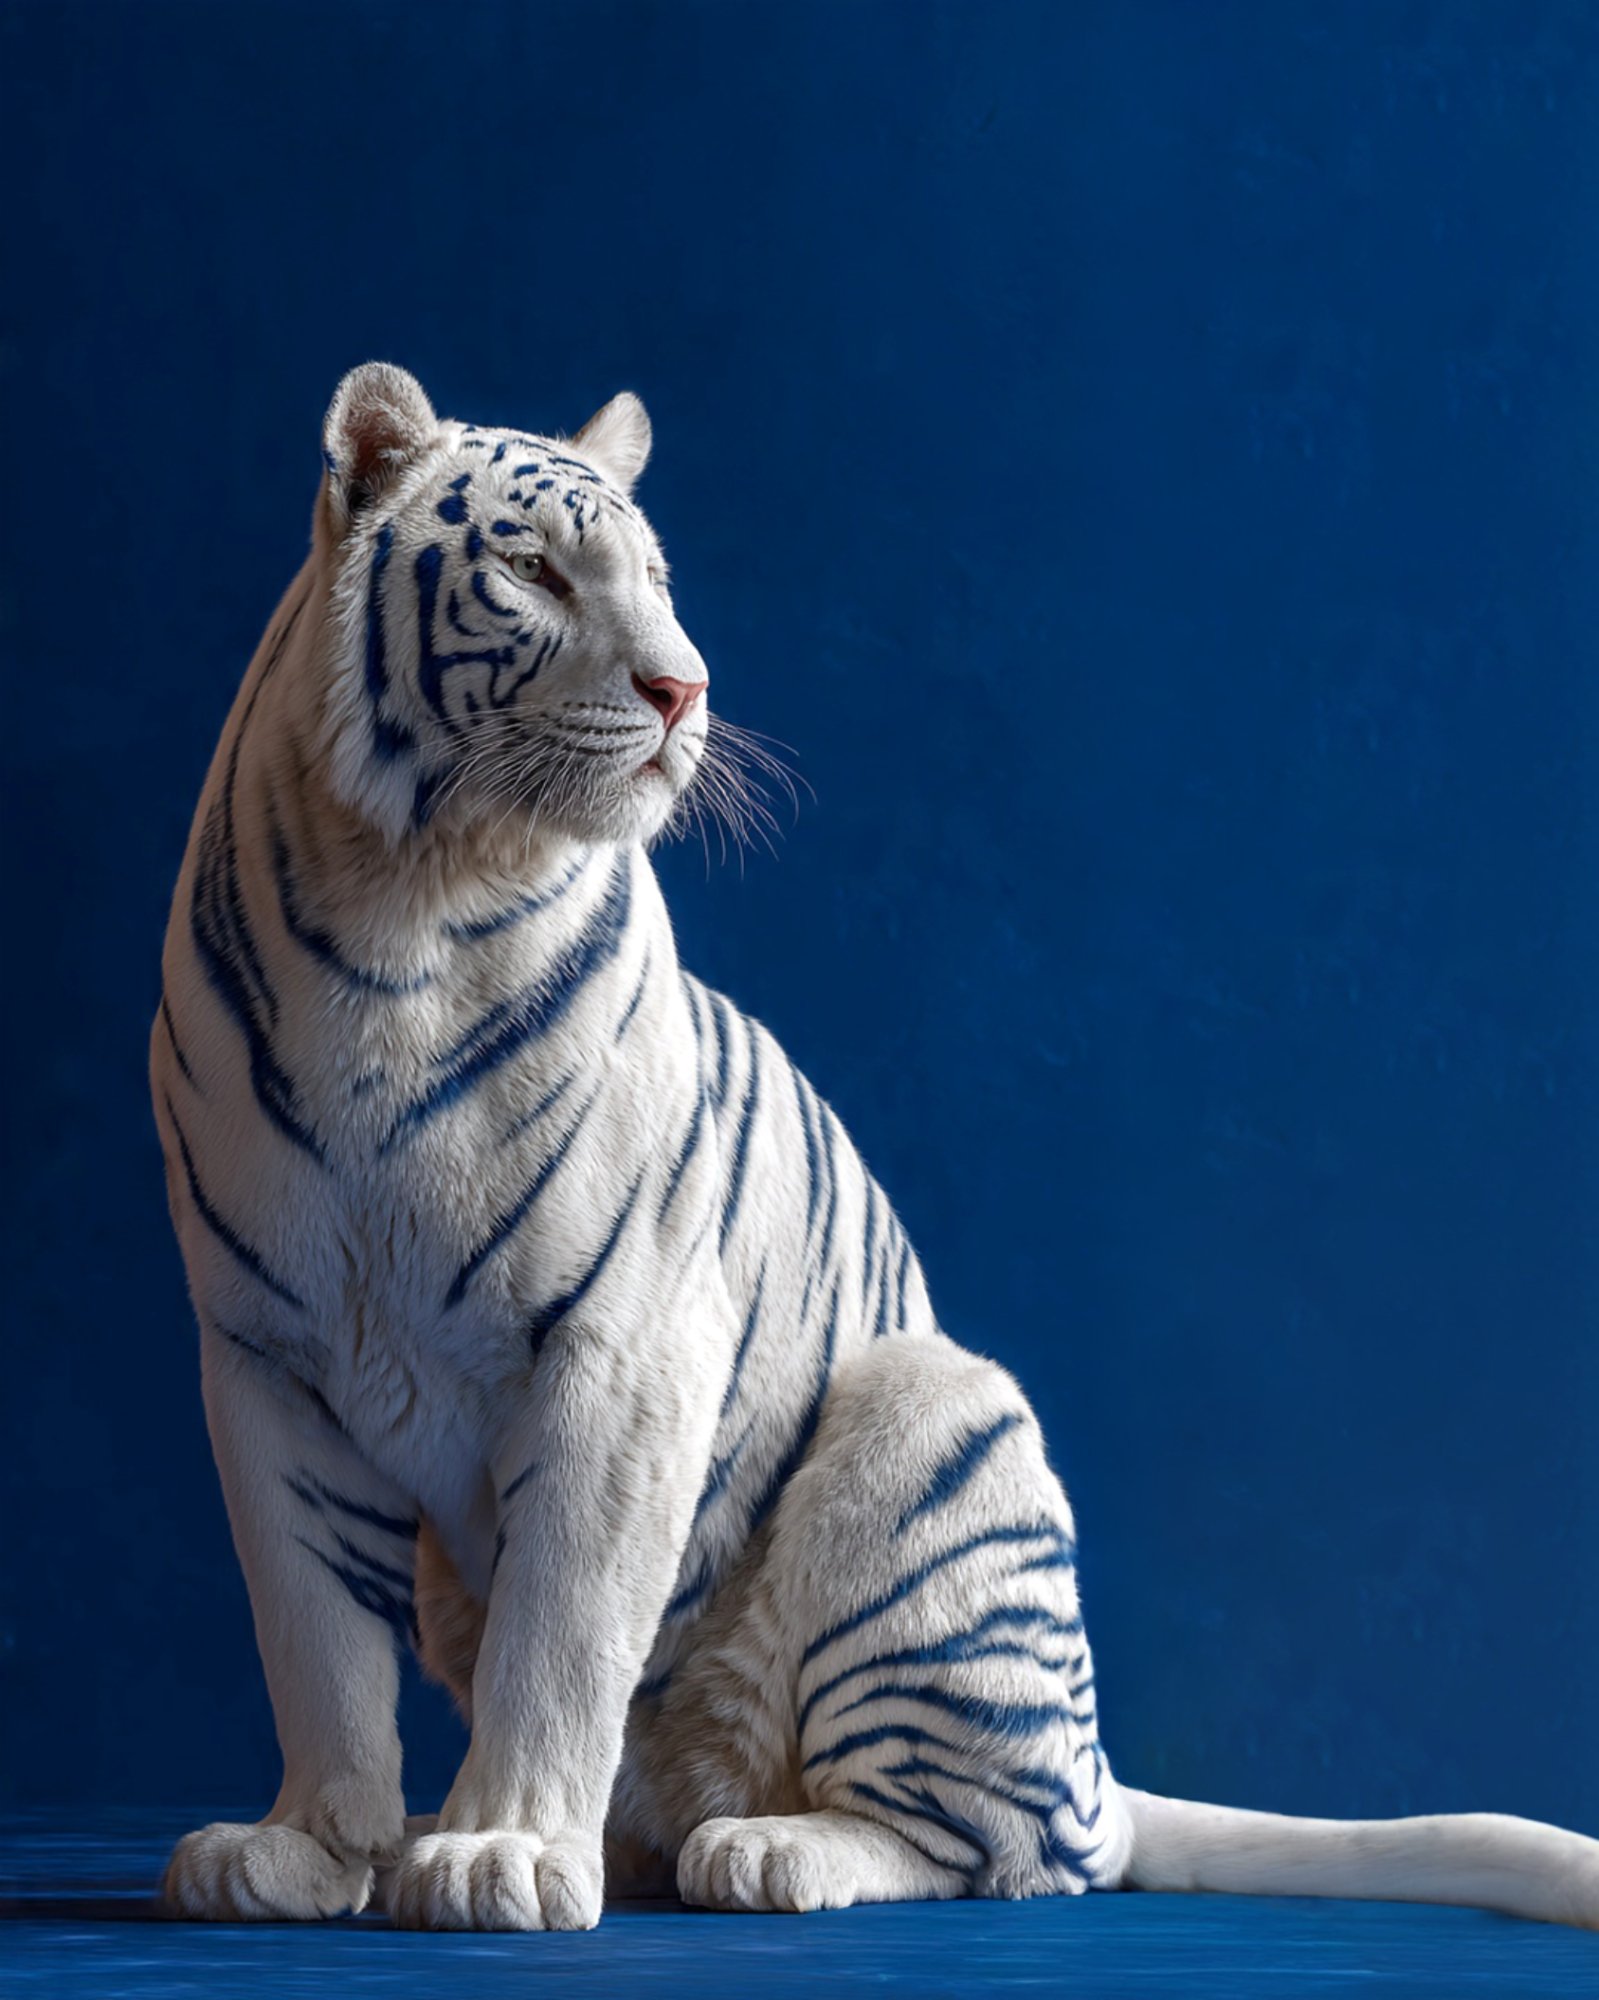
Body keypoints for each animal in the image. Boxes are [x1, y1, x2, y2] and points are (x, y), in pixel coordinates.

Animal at [150, 362, 1599, 1932]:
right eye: (532, 571)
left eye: (657, 584)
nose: (684, 689)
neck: (403, 901)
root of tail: (1100, 1768)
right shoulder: (262, 1358)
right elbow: (311, 1635)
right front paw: (308, 1845)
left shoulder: (622, 1345)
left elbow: (562, 1633)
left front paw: (501, 1854)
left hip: (930, 1419)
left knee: (1002, 1845)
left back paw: (761, 1847)